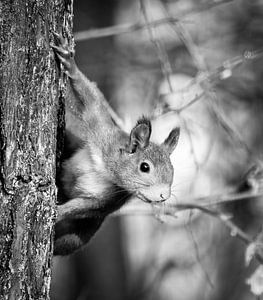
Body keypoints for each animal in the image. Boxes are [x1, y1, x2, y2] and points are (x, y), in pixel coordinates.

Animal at [51, 33, 180, 255]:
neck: (108, 170)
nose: (164, 195)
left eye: (172, 170)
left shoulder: (107, 201)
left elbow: (80, 208)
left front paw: (57, 212)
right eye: (144, 167)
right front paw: (69, 62)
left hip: (76, 236)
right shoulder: (103, 133)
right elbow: (92, 101)